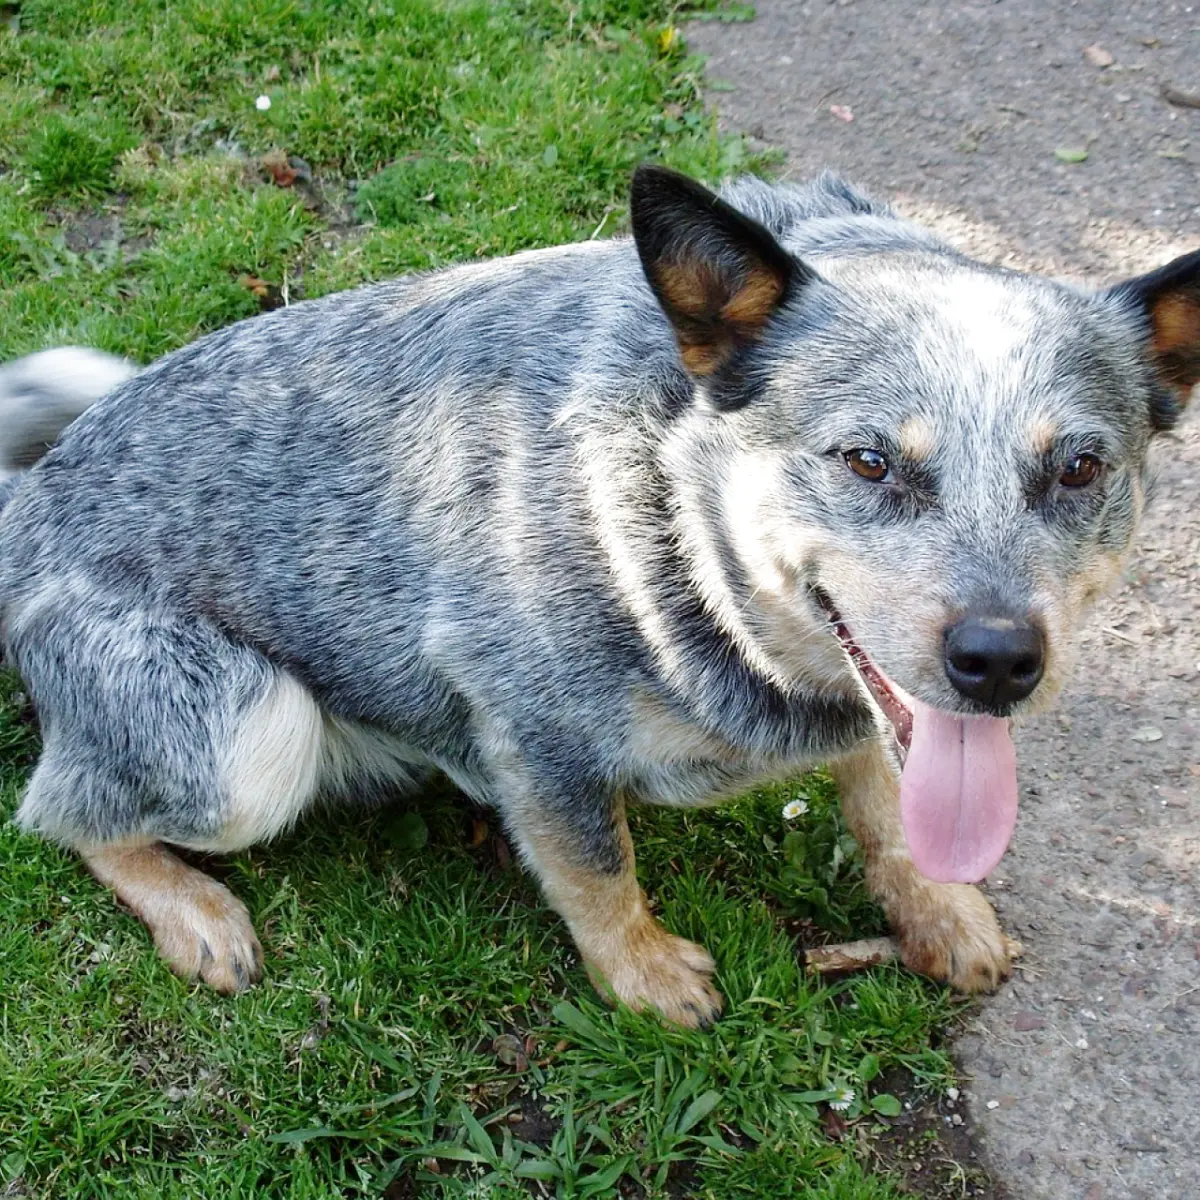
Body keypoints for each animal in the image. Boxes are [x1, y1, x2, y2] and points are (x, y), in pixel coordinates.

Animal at [2, 169, 1200, 1027]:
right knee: (62, 813)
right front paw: (644, 975)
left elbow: (888, 802)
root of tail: (27, 504)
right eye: (867, 461)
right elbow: (596, 869)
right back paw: (196, 912)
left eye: (1080, 468)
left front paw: (938, 911)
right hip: (249, 741)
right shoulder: (535, 735)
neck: (676, 524)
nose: (998, 661)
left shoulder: (869, 707)